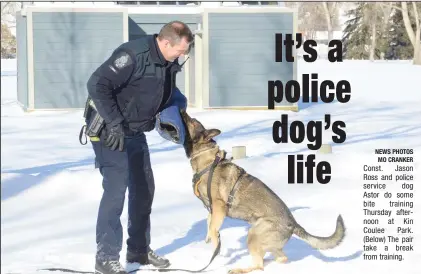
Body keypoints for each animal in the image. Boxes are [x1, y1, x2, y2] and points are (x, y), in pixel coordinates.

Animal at [180, 110, 344, 272]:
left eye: (192, 121)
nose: (182, 110)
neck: (207, 160)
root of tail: (294, 224)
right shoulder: (212, 208)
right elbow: (209, 221)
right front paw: (208, 238)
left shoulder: (219, 206)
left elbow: (214, 228)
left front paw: (217, 248)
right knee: (280, 258)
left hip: (253, 235)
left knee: (259, 266)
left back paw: (240, 269)